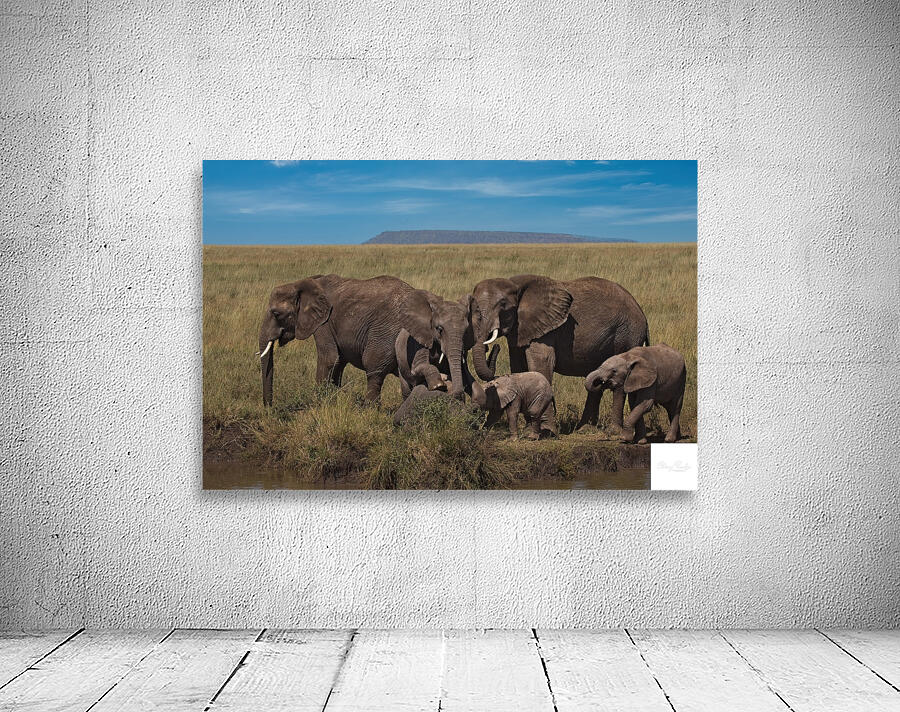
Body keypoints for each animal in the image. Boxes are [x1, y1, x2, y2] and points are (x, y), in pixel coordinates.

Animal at [257, 274, 443, 405]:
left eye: (276, 314)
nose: (269, 408)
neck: (301, 283)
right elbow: (338, 362)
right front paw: (332, 400)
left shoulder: (324, 323)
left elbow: (329, 359)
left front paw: (318, 405)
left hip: (386, 332)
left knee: (374, 369)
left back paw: (370, 410)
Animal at [468, 274, 649, 431]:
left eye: (503, 306)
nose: (491, 347)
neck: (515, 283)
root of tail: (642, 313)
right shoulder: (519, 330)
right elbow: (518, 367)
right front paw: (530, 429)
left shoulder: (545, 329)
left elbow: (541, 363)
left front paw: (545, 430)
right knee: (597, 379)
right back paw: (584, 429)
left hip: (627, 334)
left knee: (619, 380)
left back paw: (613, 431)